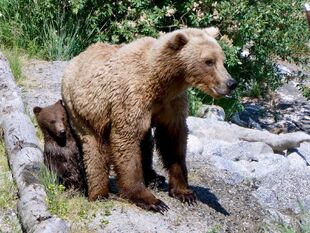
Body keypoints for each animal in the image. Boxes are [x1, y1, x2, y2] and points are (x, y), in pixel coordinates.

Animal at [61, 27, 236, 213]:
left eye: (222, 60)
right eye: (209, 61)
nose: (231, 83)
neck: (161, 82)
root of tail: (76, 57)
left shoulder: (172, 104)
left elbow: (173, 142)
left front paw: (185, 192)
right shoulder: (131, 97)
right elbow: (126, 141)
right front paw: (152, 200)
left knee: (146, 141)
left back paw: (153, 176)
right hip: (84, 112)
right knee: (94, 148)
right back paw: (99, 193)